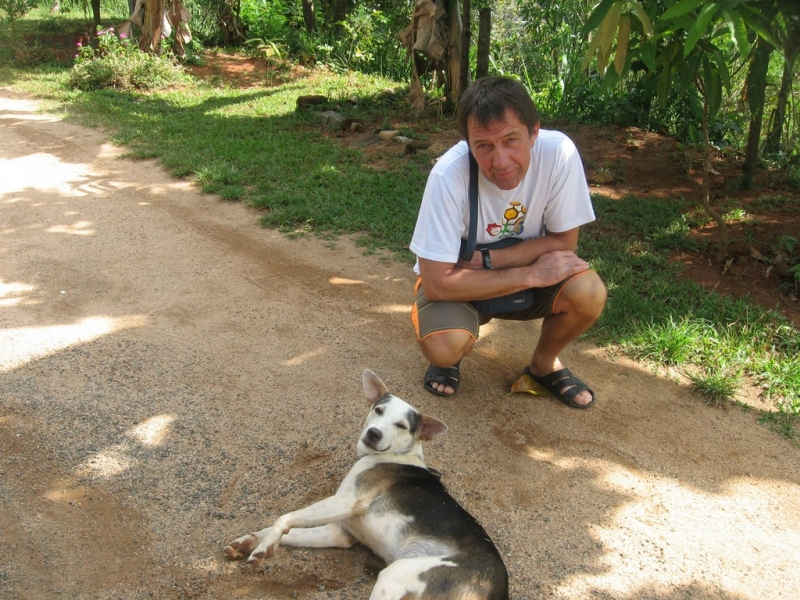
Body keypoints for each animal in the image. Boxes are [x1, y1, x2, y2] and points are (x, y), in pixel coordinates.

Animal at [222, 368, 510, 596]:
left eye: (402, 425)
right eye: (378, 410)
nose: (374, 433)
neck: (397, 454)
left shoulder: (351, 500)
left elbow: (284, 518)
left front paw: (264, 547)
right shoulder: (340, 532)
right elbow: (283, 530)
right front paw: (249, 542)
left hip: (393, 577)